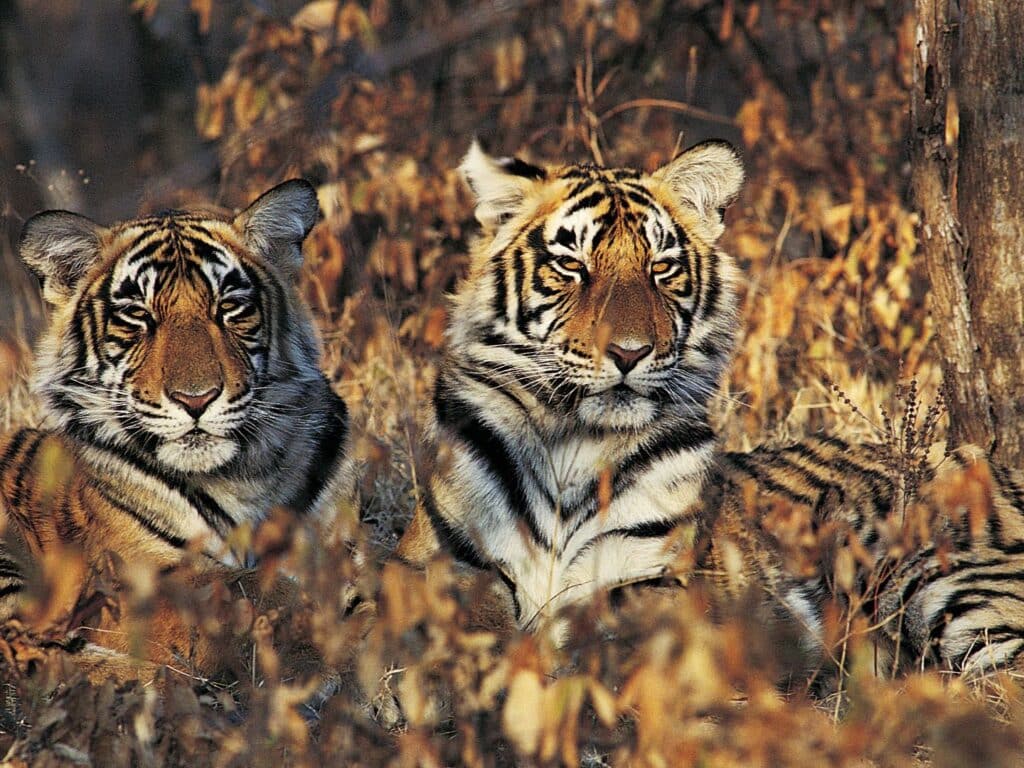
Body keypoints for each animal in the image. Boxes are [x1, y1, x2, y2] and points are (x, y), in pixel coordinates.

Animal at [0, 179, 356, 675]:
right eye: (137, 315)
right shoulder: (127, 585)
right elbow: (239, 587)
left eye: (230, 307)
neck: (247, 475)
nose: (196, 399)